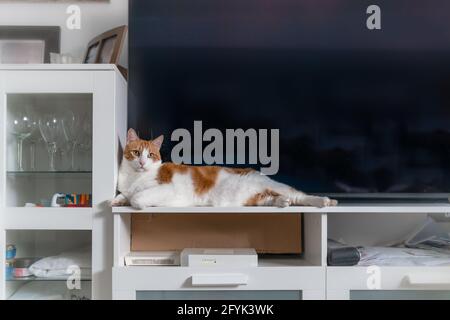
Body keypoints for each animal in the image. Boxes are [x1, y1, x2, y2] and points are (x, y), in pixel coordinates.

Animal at [110, 129, 338, 209]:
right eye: (136, 153)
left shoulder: (166, 188)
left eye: (150, 155)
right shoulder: (126, 189)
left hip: (275, 186)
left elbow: (137, 198)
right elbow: (124, 195)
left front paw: (141, 205)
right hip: (255, 198)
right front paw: (117, 200)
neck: (135, 178)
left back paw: (324, 201)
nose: (142, 162)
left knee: (300, 195)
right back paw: (282, 203)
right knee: (274, 198)